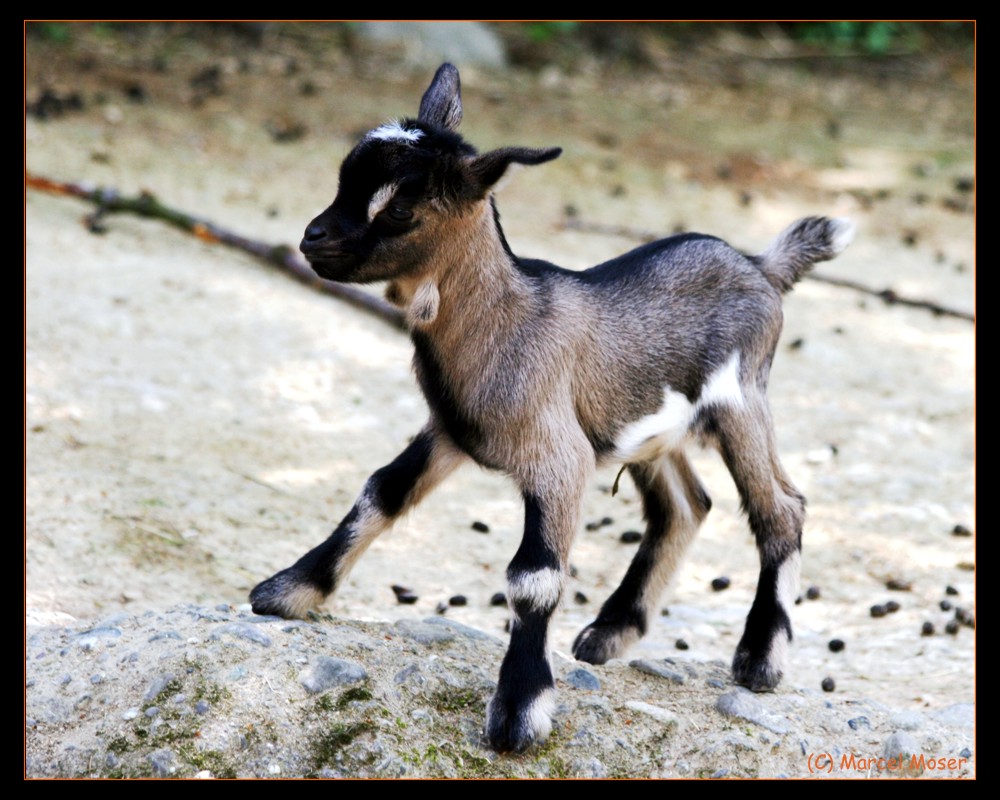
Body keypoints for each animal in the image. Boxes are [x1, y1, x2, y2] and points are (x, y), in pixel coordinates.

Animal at [250, 65, 852, 752]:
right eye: (343, 180)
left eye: (400, 207)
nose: (311, 238)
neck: (509, 322)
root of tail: (761, 267)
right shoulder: (451, 431)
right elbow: (379, 492)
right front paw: (288, 592)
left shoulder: (557, 458)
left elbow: (533, 576)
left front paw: (519, 712)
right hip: (643, 430)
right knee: (686, 505)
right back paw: (609, 634)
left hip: (742, 402)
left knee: (780, 509)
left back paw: (759, 661)